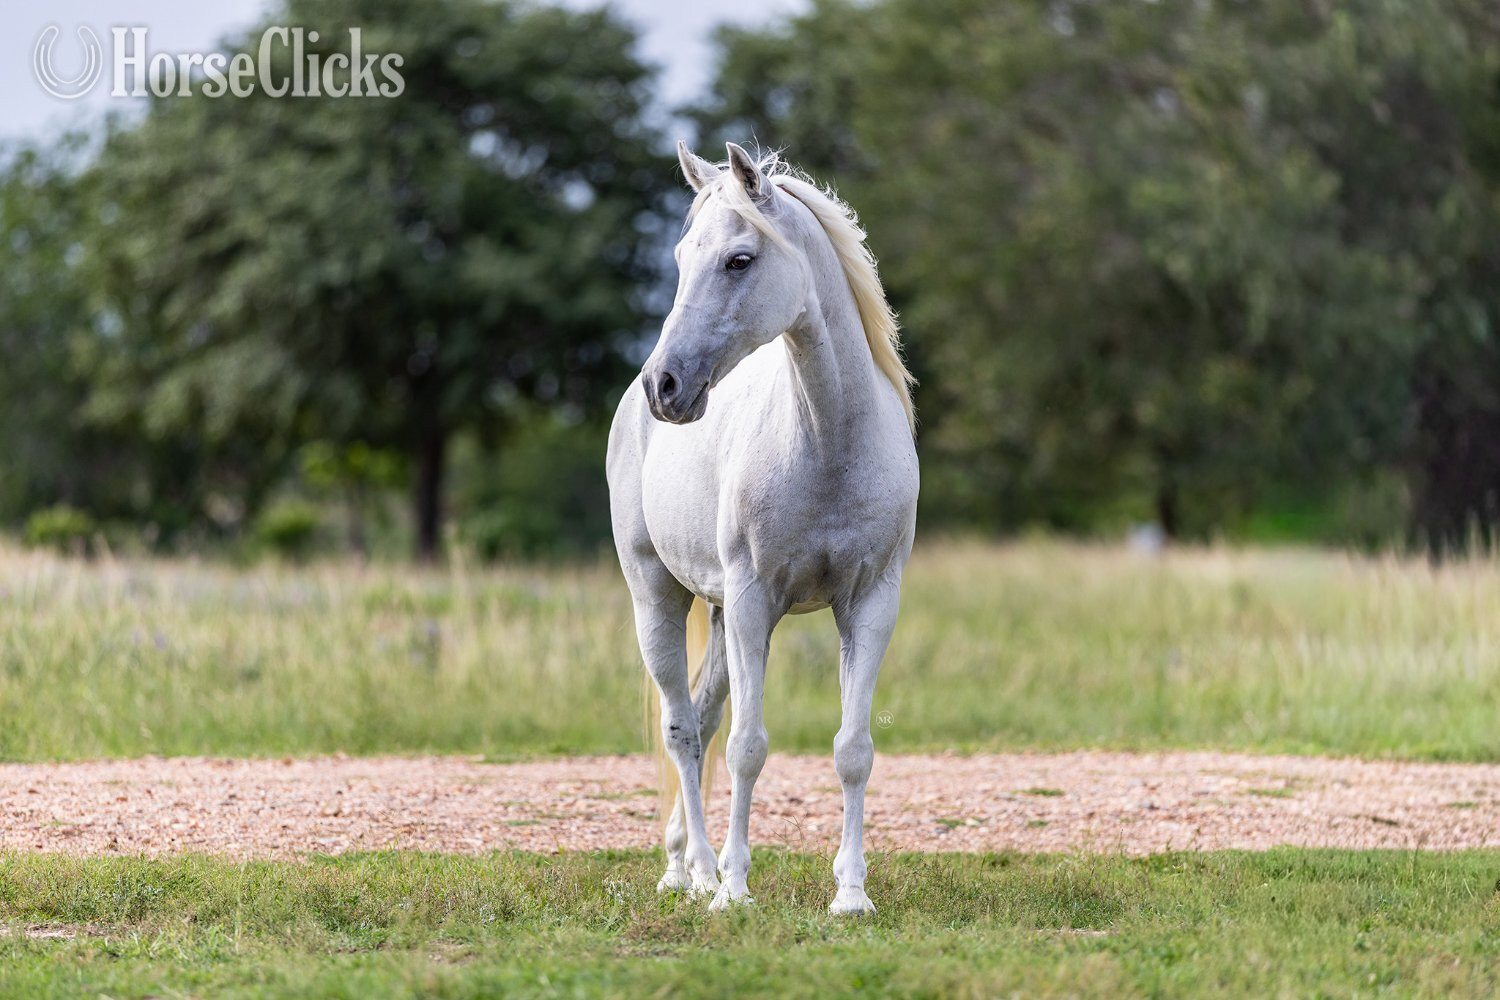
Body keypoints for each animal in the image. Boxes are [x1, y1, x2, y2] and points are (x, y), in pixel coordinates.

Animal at [606, 141, 918, 915]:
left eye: (739, 259)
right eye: (681, 256)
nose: (665, 386)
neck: (830, 441)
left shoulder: (871, 604)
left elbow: (853, 749)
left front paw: (851, 894)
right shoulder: (754, 603)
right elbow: (747, 746)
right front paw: (736, 890)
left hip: (718, 616)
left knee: (703, 717)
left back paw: (682, 865)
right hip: (658, 597)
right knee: (683, 729)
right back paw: (700, 872)